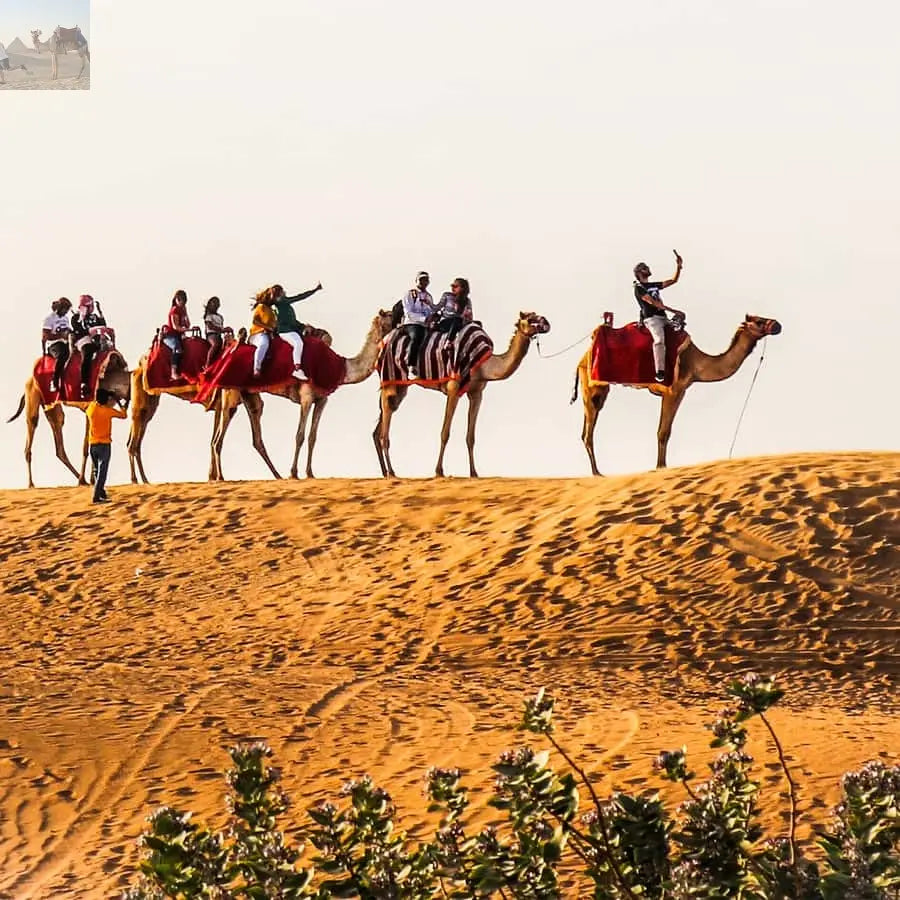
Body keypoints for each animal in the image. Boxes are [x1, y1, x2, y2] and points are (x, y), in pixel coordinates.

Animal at [7, 352, 131, 488]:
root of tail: (29, 380)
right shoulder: (90, 409)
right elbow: (86, 447)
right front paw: (89, 480)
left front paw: (92, 480)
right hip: (33, 397)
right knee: (32, 429)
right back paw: (32, 484)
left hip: (52, 409)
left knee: (59, 441)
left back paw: (82, 479)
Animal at [210, 310, 395, 480]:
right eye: (390, 315)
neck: (341, 367)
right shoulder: (306, 397)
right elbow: (299, 435)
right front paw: (293, 473)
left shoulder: (322, 400)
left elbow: (313, 437)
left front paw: (310, 473)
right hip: (231, 393)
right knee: (219, 438)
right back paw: (221, 477)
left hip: (248, 396)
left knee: (253, 436)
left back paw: (277, 475)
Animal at [373, 311, 551, 478]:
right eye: (530, 318)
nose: (547, 323)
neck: (484, 364)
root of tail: (384, 342)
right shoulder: (454, 388)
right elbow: (445, 433)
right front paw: (439, 471)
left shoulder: (477, 393)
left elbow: (470, 437)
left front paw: (474, 472)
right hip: (390, 377)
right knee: (384, 429)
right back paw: (391, 472)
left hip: (400, 387)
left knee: (380, 425)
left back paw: (385, 472)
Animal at [573, 314, 783, 474]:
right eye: (759, 321)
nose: (777, 325)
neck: (696, 362)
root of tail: (582, 359)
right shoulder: (674, 390)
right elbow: (663, 431)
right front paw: (661, 467)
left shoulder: (680, 391)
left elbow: (665, 431)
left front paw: (661, 466)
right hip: (592, 386)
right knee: (588, 432)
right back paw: (597, 473)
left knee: (585, 430)